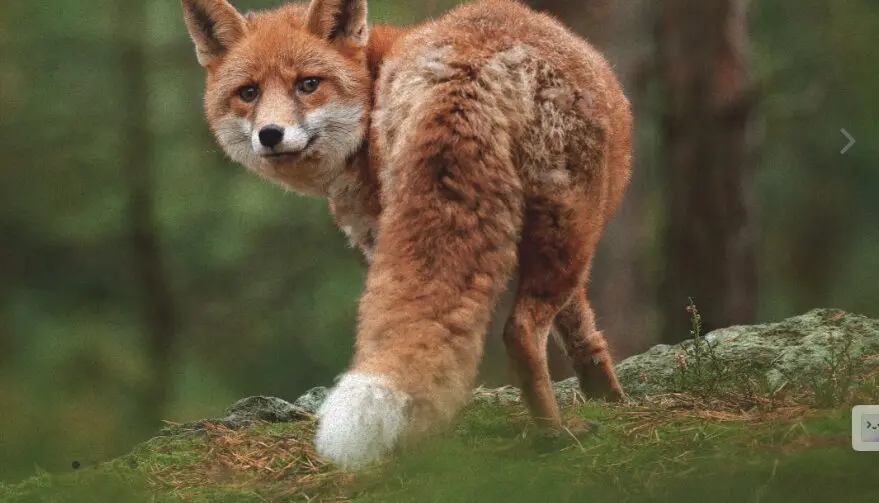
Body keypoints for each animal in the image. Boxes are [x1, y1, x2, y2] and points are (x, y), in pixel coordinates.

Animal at [182, 0, 632, 469]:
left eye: (308, 84)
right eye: (248, 92)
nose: (270, 134)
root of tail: (467, 67)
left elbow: (577, 327)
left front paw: (607, 397)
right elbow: (581, 329)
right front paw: (609, 398)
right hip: (572, 229)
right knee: (521, 332)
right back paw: (554, 433)